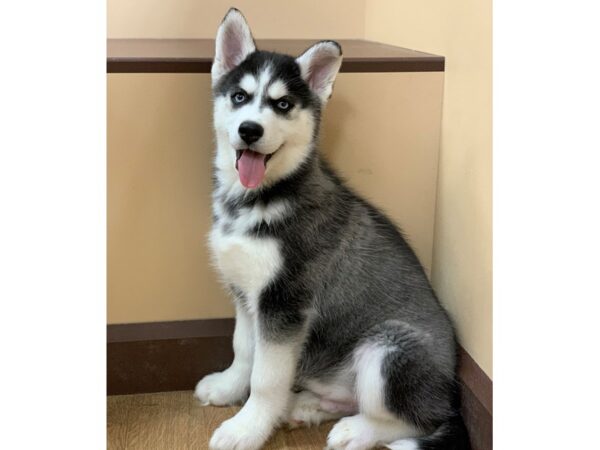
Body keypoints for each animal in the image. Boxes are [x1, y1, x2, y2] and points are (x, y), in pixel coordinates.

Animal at [195, 7, 472, 450]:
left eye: (283, 104)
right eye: (239, 96)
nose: (250, 130)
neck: (261, 197)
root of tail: (452, 399)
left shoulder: (285, 303)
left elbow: (267, 378)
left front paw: (247, 427)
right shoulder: (246, 292)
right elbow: (244, 350)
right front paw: (228, 388)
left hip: (387, 349)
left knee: (414, 421)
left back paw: (354, 430)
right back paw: (304, 407)